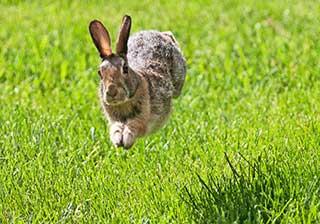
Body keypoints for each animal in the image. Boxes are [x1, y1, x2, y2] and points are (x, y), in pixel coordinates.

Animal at [89, 15, 186, 149]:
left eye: (125, 68)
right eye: (100, 72)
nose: (111, 92)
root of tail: (163, 35)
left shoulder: (142, 118)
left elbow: (135, 125)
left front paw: (126, 140)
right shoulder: (114, 119)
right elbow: (116, 127)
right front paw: (117, 140)